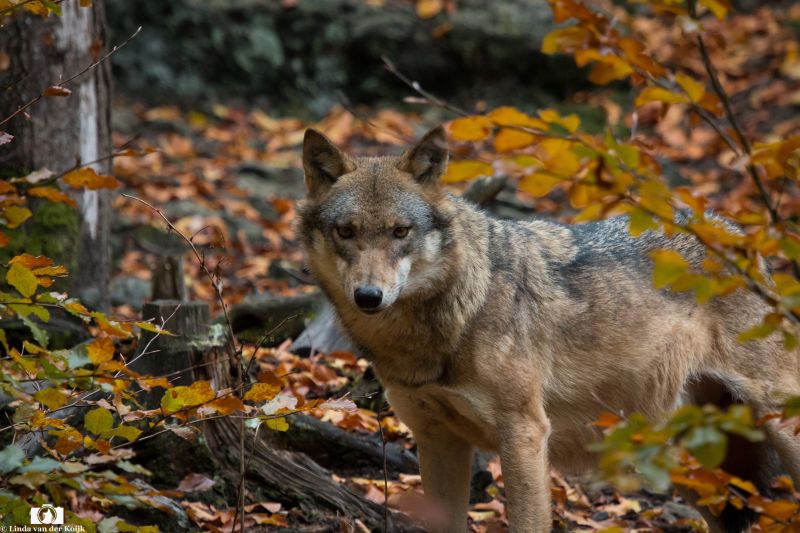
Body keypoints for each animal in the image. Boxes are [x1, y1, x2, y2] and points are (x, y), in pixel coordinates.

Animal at [297, 126, 800, 533]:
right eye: (346, 232)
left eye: (400, 232)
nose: (368, 296)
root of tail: (737, 234)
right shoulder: (437, 440)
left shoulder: (525, 434)